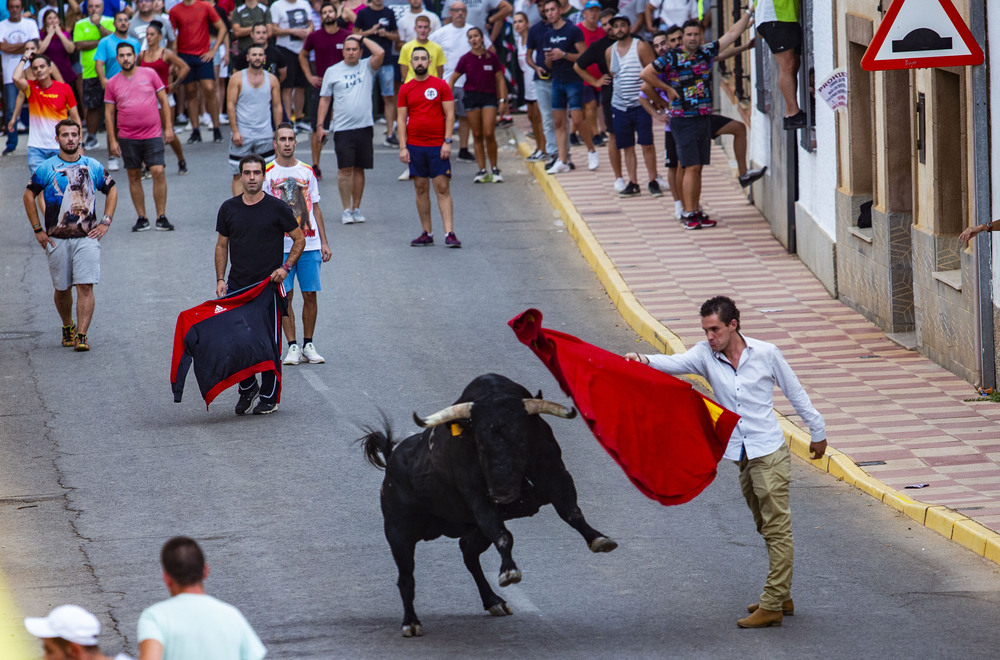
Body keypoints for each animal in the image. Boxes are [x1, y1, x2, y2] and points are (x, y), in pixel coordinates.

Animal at [360, 372, 612, 636]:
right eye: (480, 443)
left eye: (522, 441)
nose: (503, 493)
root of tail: (391, 461)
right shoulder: (479, 499)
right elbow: (504, 535)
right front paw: (509, 572)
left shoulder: (557, 476)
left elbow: (571, 512)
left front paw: (599, 539)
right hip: (399, 532)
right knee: (406, 577)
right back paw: (411, 622)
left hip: (472, 529)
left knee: (469, 553)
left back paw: (493, 601)